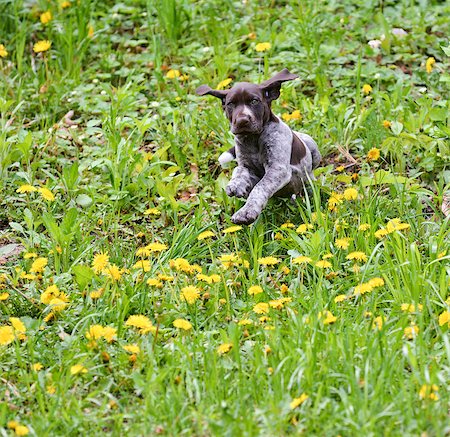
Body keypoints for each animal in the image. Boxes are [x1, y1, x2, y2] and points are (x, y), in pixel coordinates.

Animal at [196, 69, 320, 225]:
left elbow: (260, 187)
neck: (252, 139)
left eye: (254, 101)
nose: (242, 121)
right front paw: (236, 184)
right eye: (231, 104)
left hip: (311, 145)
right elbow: (239, 171)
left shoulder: (277, 170)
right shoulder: (247, 166)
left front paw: (246, 212)